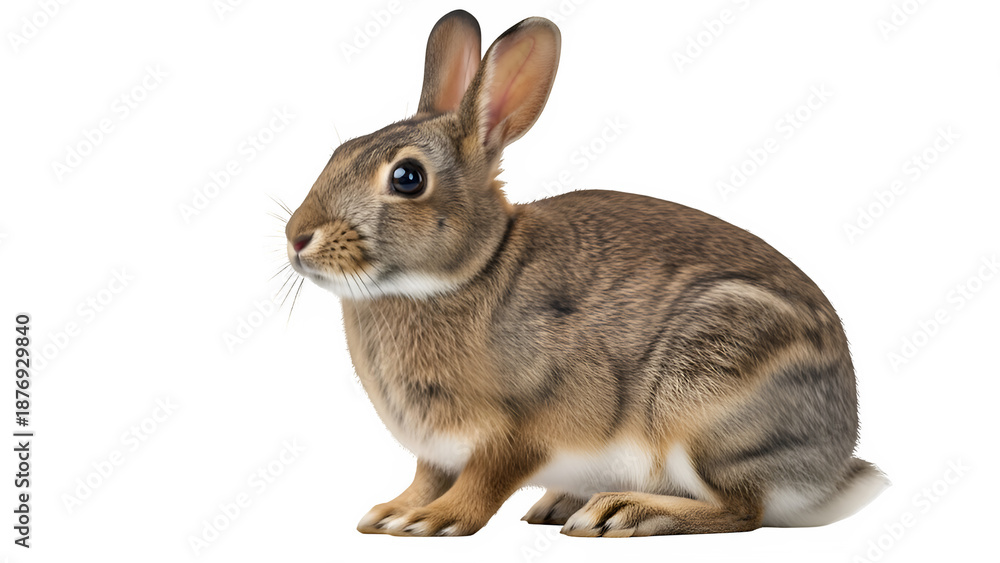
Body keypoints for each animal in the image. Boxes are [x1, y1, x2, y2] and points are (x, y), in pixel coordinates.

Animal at [284, 9, 888, 537]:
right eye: (340, 152)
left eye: (407, 178)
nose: (296, 237)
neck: (471, 269)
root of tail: (833, 466)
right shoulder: (436, 452)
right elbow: (426, 477)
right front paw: (391, 511)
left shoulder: (519, 427)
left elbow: (484, 480)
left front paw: (431, 521)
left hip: (705, 402)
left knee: (742, 509)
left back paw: (618, 513)